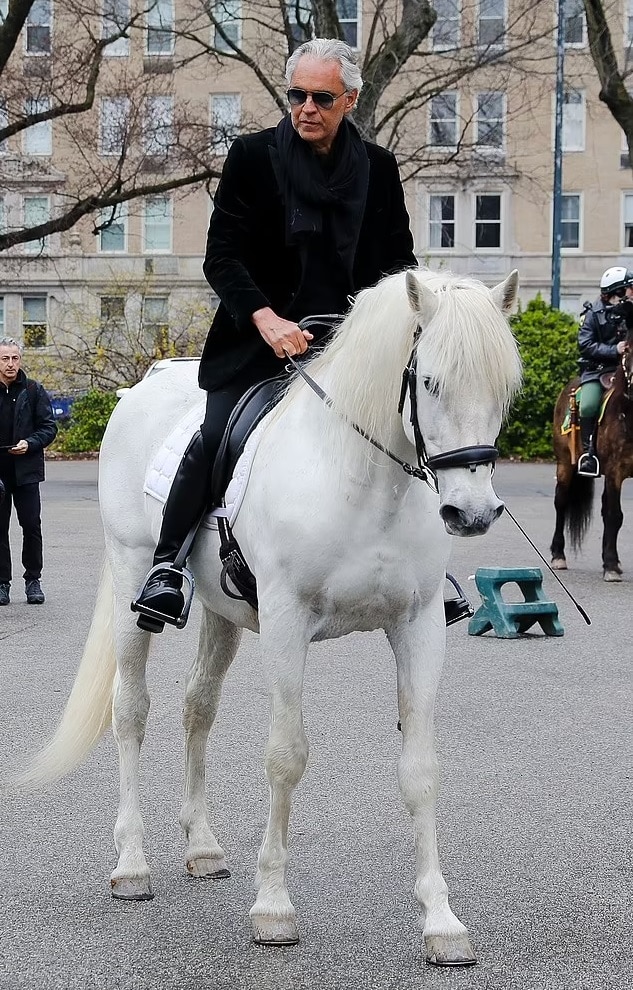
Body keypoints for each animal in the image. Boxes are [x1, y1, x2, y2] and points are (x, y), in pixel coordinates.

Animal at [16, 268, 520, 964]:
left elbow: (420, 769)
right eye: (430, 382)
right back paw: (132, 865)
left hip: (222, 611)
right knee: (131, 710)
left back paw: (201, 848)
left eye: (504, 389)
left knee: (197, 707)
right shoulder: (287, 622)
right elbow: (285, 756)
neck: (362, 479)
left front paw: (441, 922)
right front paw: (274, 908)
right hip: (130, 579)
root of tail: (146, 382)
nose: (471, 513)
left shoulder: (417, 626)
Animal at [548, 316, 632, 580]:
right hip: (564, 464)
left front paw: (611, 562)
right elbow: (615, 515)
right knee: (561, 502)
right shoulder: (615, 470)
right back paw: (558, 555)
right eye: (629, 349)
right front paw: (611, 566)